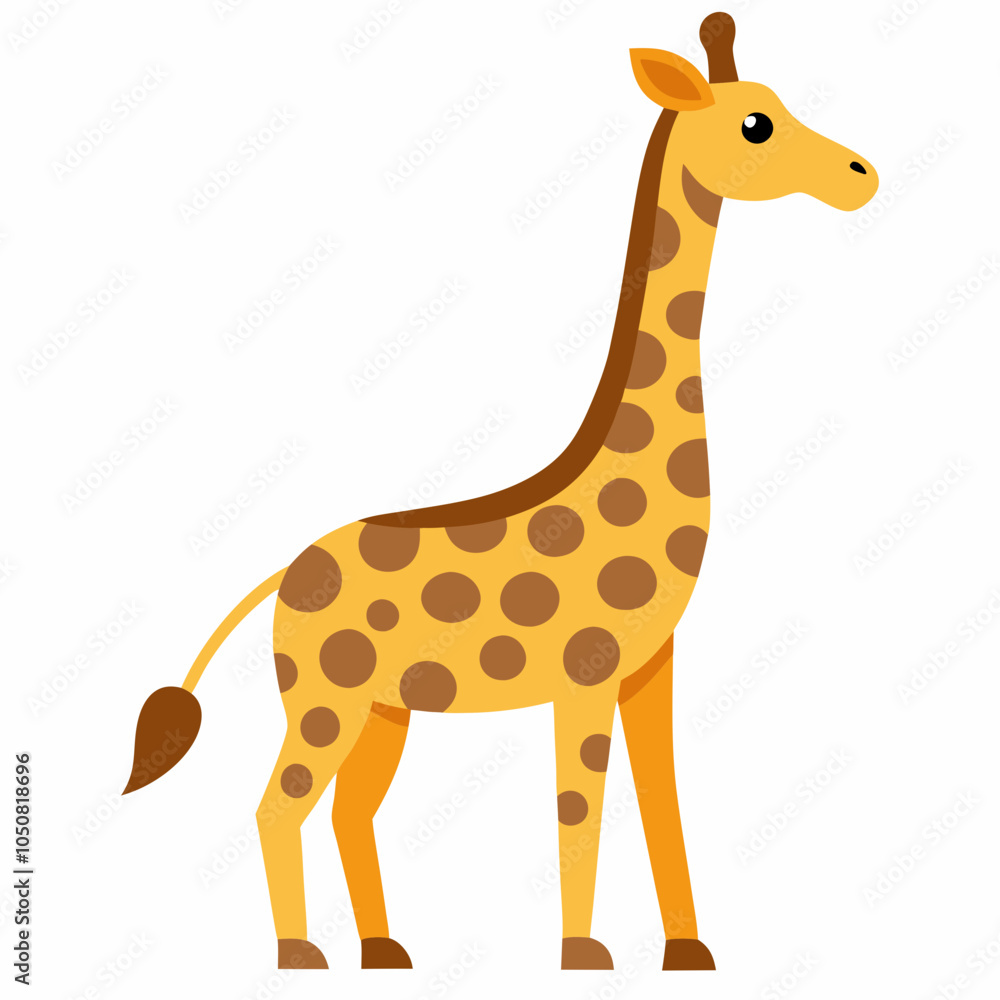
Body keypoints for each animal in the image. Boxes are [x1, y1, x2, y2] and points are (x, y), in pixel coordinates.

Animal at [123, 12, 878, 972]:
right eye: (756, 124)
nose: (862, 175)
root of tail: (282, 577)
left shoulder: (653, 666)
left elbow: (663, 800)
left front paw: (688, 953)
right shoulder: (587, 671)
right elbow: (578, 805)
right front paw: (583, 955)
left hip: (383, 709)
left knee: (347, 808)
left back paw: (385, 950)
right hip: (326, 700)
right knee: (277, 803)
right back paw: (300, 955)